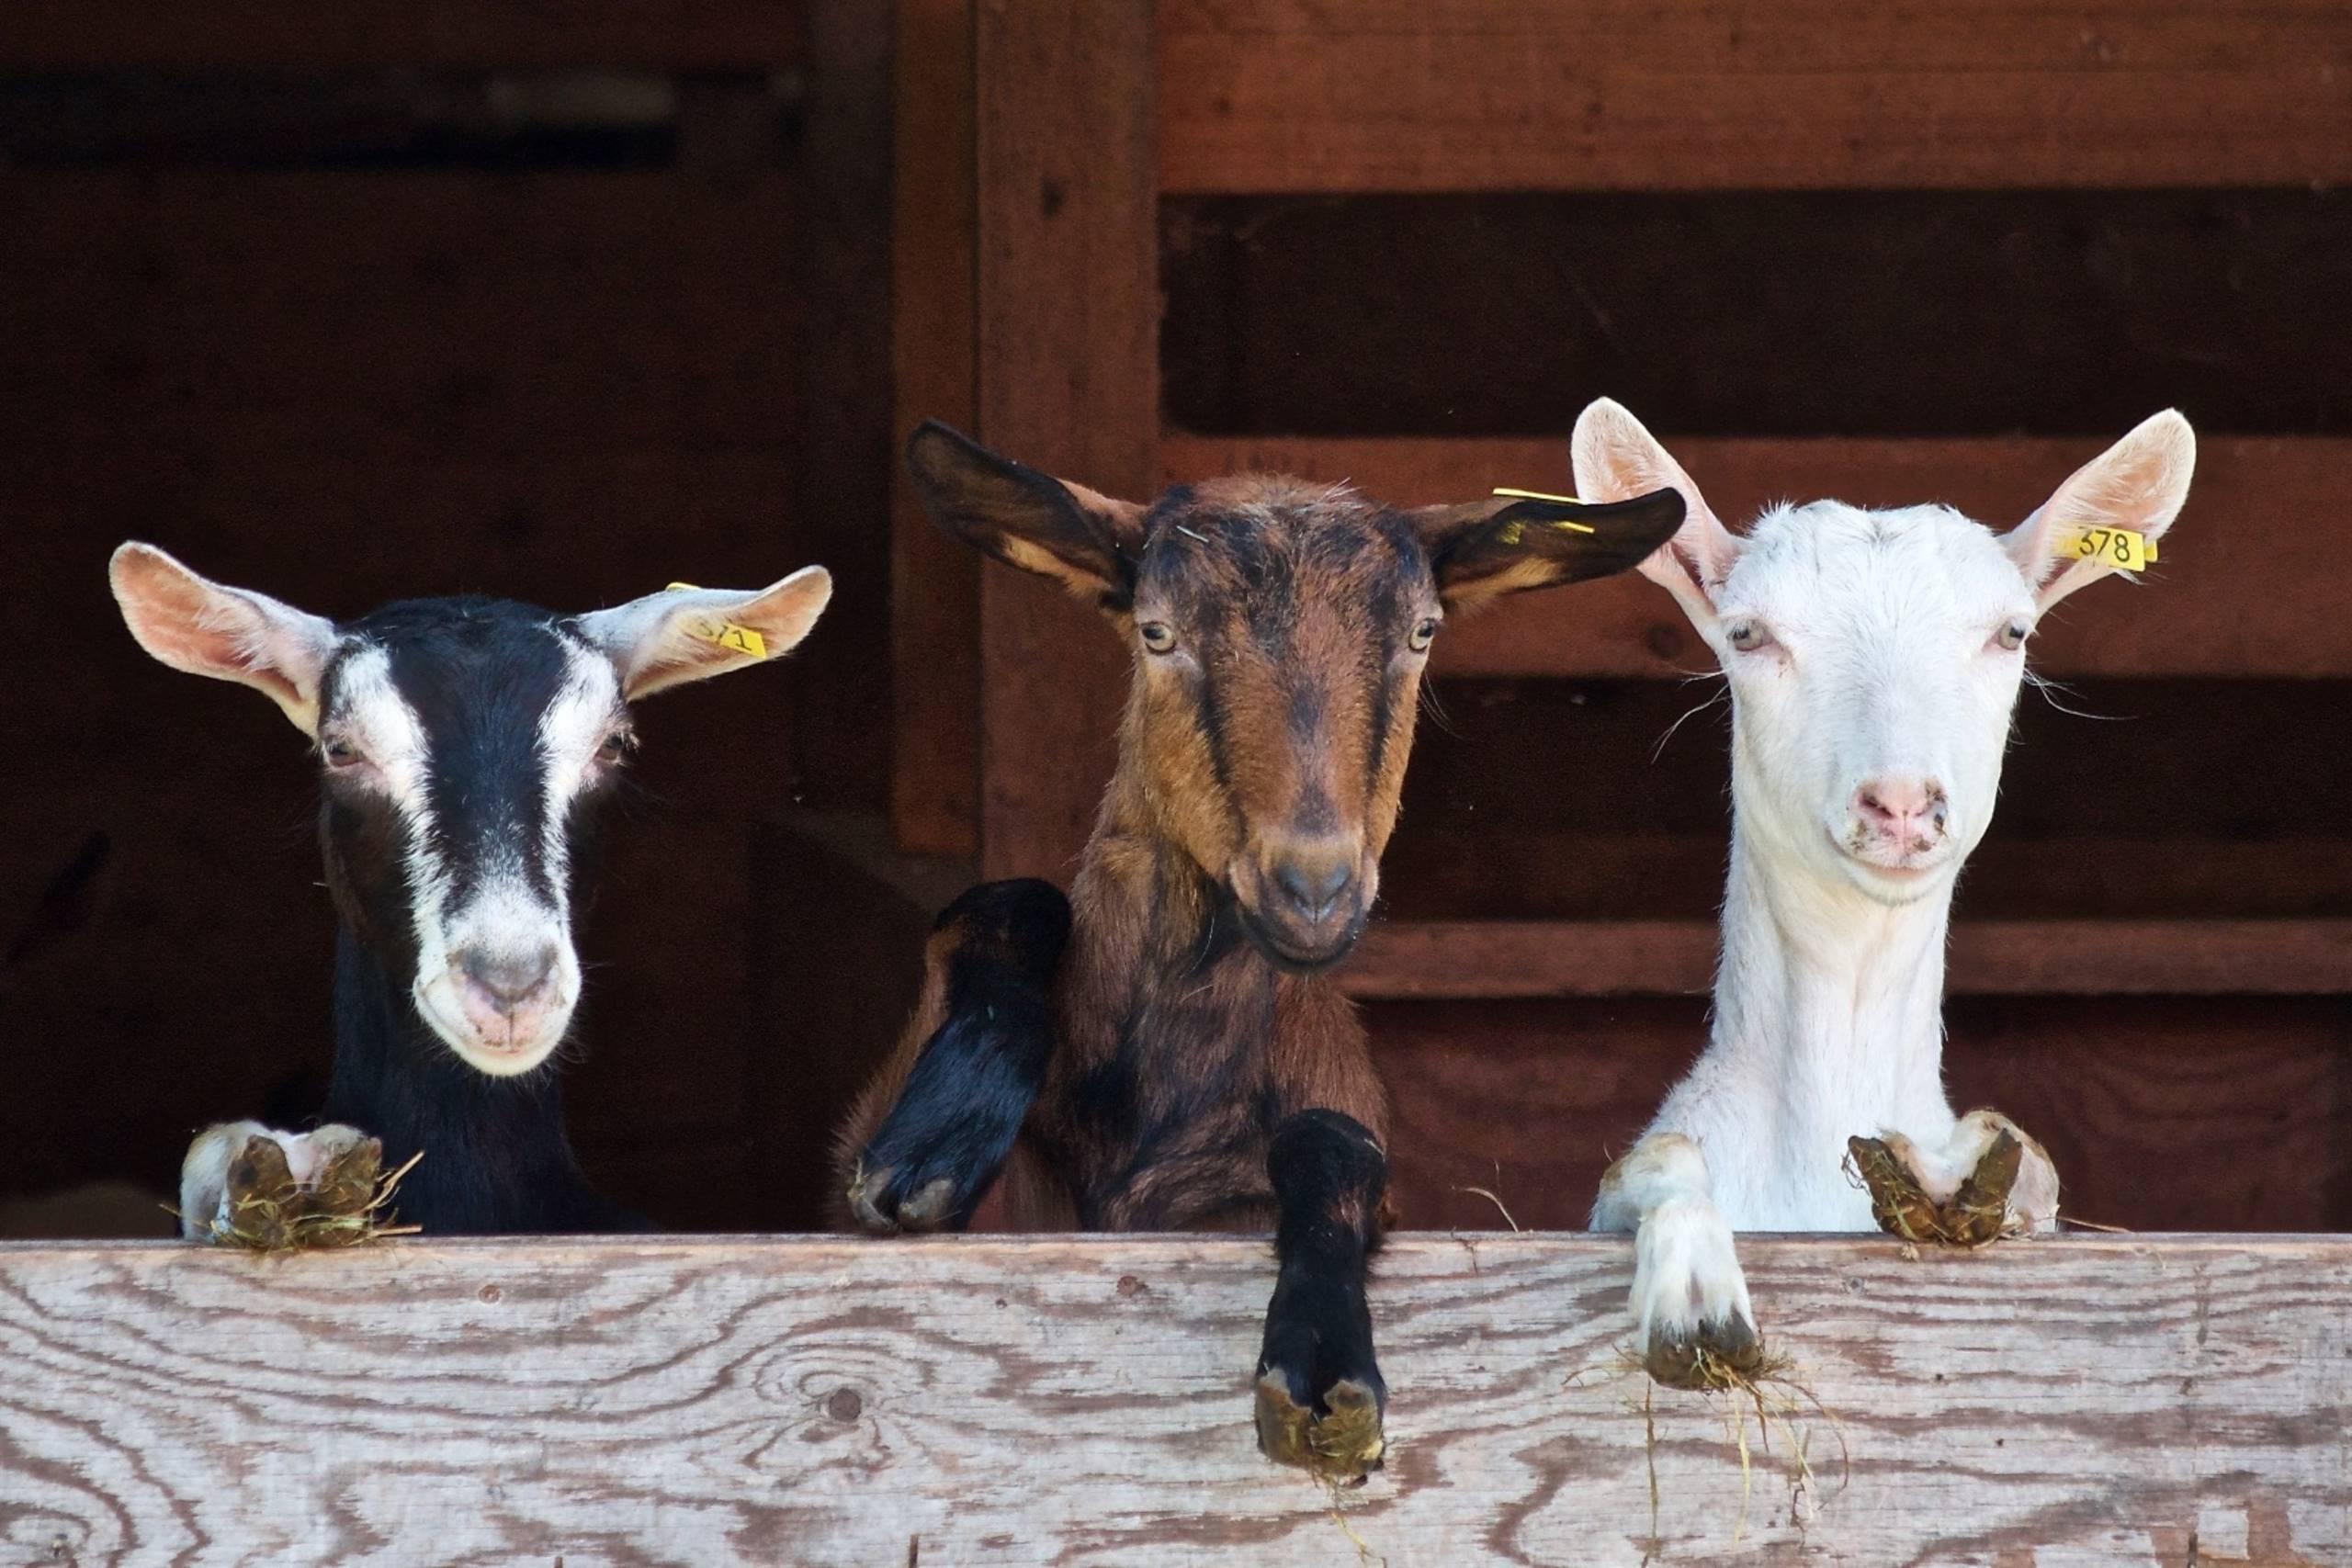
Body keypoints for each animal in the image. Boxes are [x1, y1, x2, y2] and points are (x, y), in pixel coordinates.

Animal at [838, 421, 1687, 1470]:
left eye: (1421, 633)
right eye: (1156, 632)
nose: (1312, 890)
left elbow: (1335, 1143)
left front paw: (1322, 1363)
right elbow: (1005, 902)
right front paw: (936, 1141)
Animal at [1572, 400, 2195, 1383]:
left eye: (2011, 633)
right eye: (1747, 634)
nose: (1900, 802)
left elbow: (2029, 1159)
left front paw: (1949, 1173)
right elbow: (1655, 1158)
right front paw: (1696, 1300)